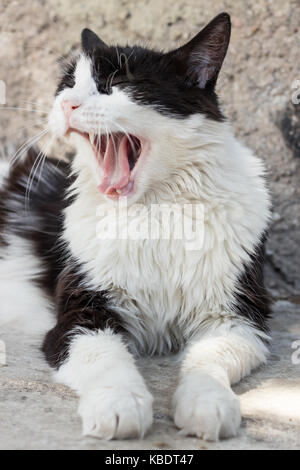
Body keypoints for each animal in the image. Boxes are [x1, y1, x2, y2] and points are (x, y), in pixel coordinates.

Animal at [0, 13, 272, 440]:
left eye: (115, 85)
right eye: (67, 85)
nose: (66, 103)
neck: (153, 214)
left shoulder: (235, 317)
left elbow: (207, 360)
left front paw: (207, 403)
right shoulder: (80, 315)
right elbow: (106, 359)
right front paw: (119, 404)